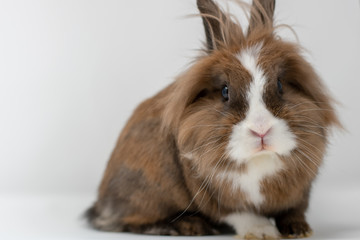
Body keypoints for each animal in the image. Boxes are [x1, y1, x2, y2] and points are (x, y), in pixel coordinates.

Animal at [85, 0, 340, 238]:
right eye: (225, 91)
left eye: (279, 85)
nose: (261, 130)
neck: (259, 161)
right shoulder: (215, 195)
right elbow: (239, 213)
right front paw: (262, 231)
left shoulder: (301, 191)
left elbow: (294, 210)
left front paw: (299, 230)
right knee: (130, 222)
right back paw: (190, 225)